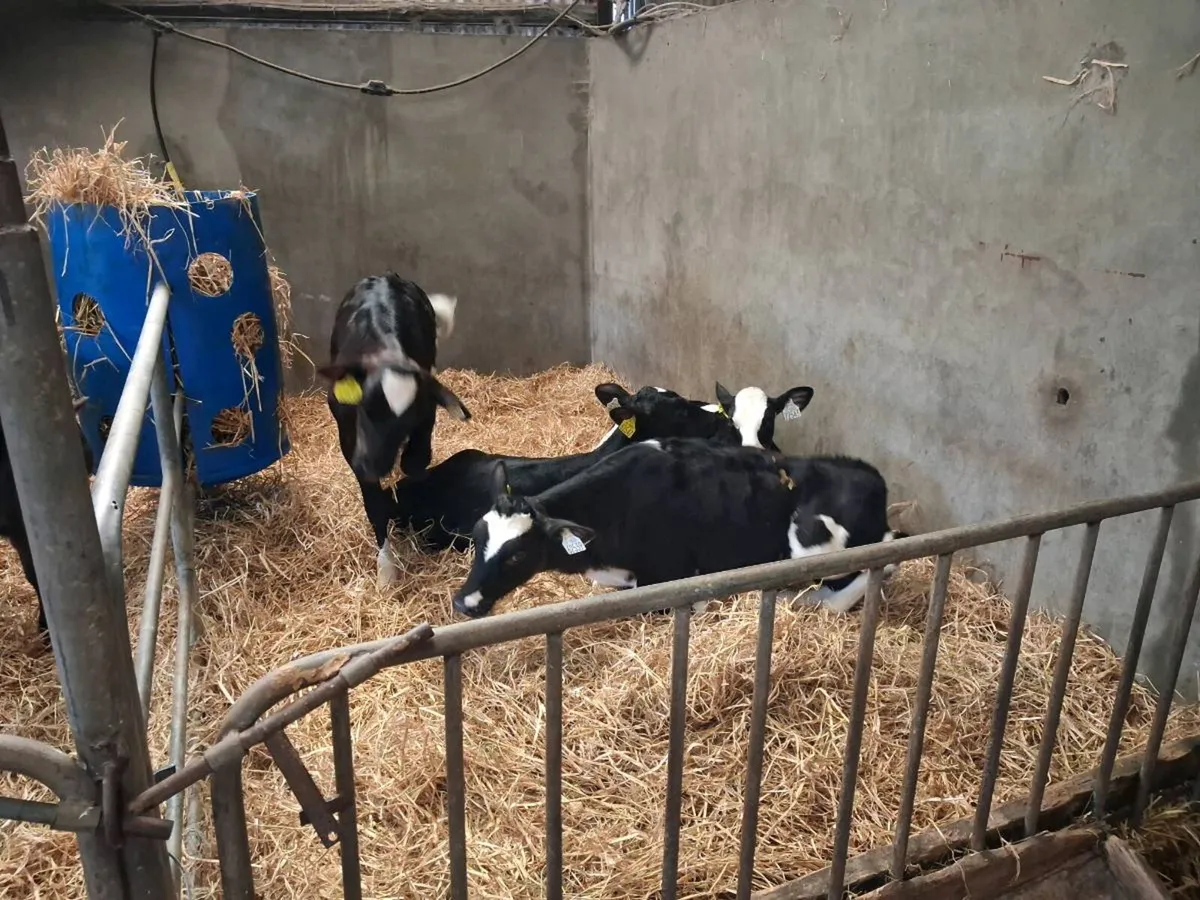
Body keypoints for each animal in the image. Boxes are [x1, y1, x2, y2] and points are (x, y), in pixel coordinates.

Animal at [318, 273, 472, 584]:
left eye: (407, 420)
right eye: (365, 408)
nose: (372, 465)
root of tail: (385, 277)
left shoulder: (425, 415)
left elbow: (415, 463)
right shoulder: (349, 438)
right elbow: (374, 505)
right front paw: (386, 570)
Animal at [449, 437, 897, 619]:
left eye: (518, 555)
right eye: (477, 538)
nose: (464, 602)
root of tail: (872, 475)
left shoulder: (671, 580)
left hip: (812, 542)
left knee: (877, 565)